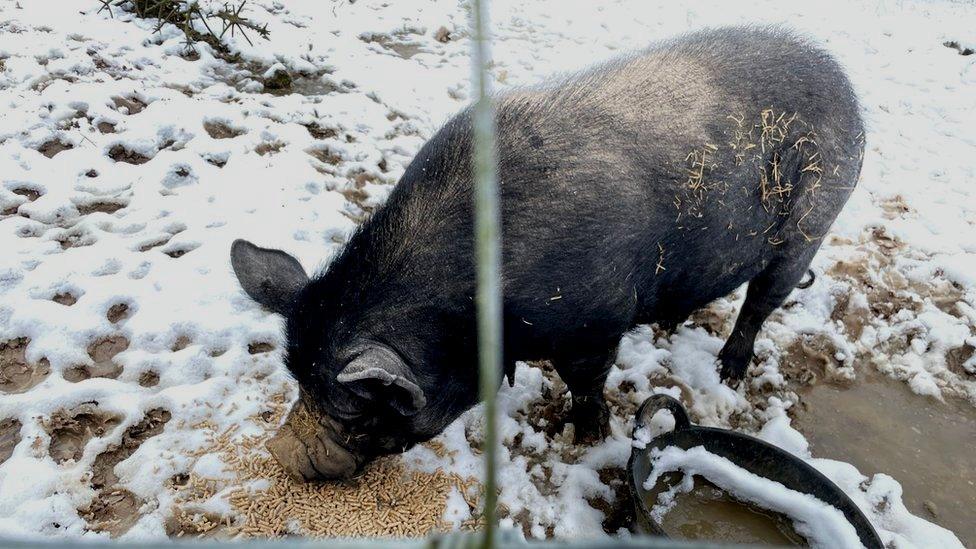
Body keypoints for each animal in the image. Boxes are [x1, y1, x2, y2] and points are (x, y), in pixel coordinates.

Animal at [229, 26, 860, 480]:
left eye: (360, 412)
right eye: (298, 382)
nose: (283, 455)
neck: (477, 308)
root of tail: (842, 79)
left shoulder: (596, 321)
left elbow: (586, 382)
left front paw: (587, 438)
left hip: (810, 225)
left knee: (761, 302)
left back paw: (729, 372)